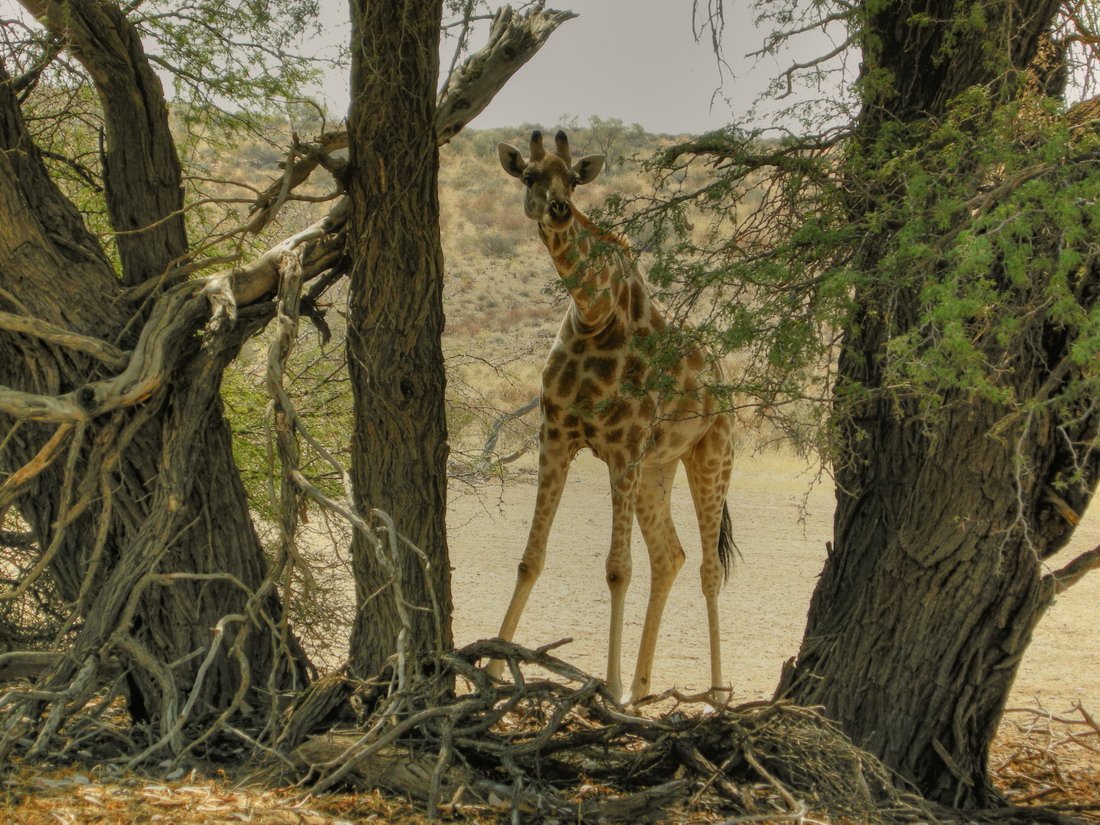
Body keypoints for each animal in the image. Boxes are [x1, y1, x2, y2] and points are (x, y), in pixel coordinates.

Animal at [492, 129, 739, 704]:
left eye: (573, 178)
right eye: (529, 176)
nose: (559, 209)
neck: (592, 312)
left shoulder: (623, 444)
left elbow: (616, 569)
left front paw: (607, 684)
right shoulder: (556, 434)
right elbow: (530, 557)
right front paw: (491, 667)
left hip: (711, 454)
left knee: (708, 567)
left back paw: (715, 694)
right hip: (656, 468)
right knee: (669, 556)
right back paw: (642, 692)